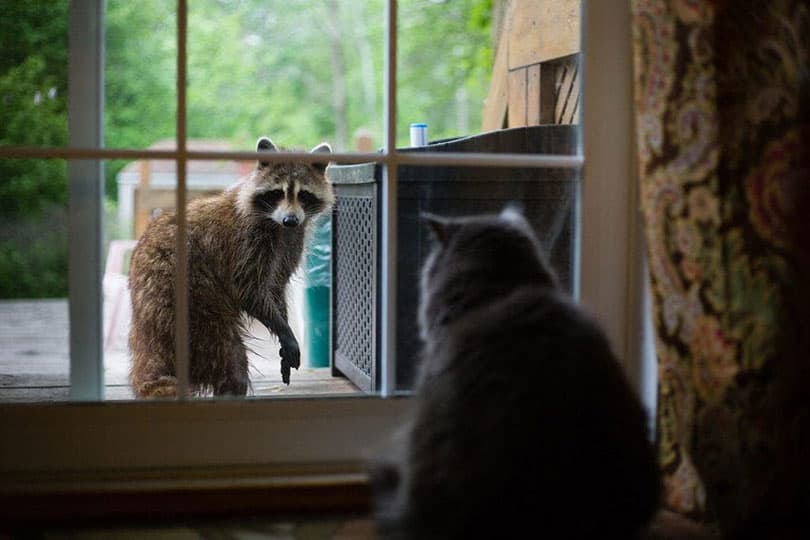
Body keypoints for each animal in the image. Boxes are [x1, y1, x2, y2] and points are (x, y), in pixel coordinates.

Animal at [127, 135, 334, 396]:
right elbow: (248, 289)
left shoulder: (291, 242)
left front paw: (284, 327)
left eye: (304, 194)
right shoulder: (246, 241)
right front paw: (284, 331)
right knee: (231, 359)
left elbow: (275, 286)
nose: (290, 219)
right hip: (187, 305)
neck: (276, 224)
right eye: (277, 193)